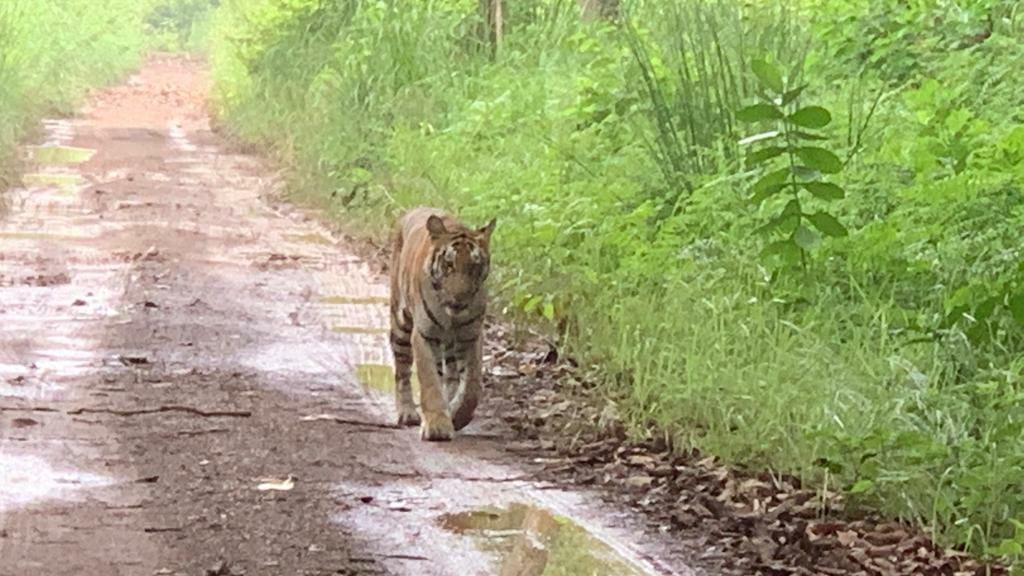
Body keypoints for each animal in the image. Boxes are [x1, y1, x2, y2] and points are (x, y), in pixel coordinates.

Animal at [389, 207, 496, 441]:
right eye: (449, 265)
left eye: (474, 266)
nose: (459, 300)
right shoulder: (424, 335)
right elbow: (430, 382)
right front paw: (438, 425)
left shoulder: (471, 336)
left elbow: (471, 386)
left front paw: (458, 416)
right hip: (401, 323)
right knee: (402, 370)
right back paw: (407, 413)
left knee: (451, 375)